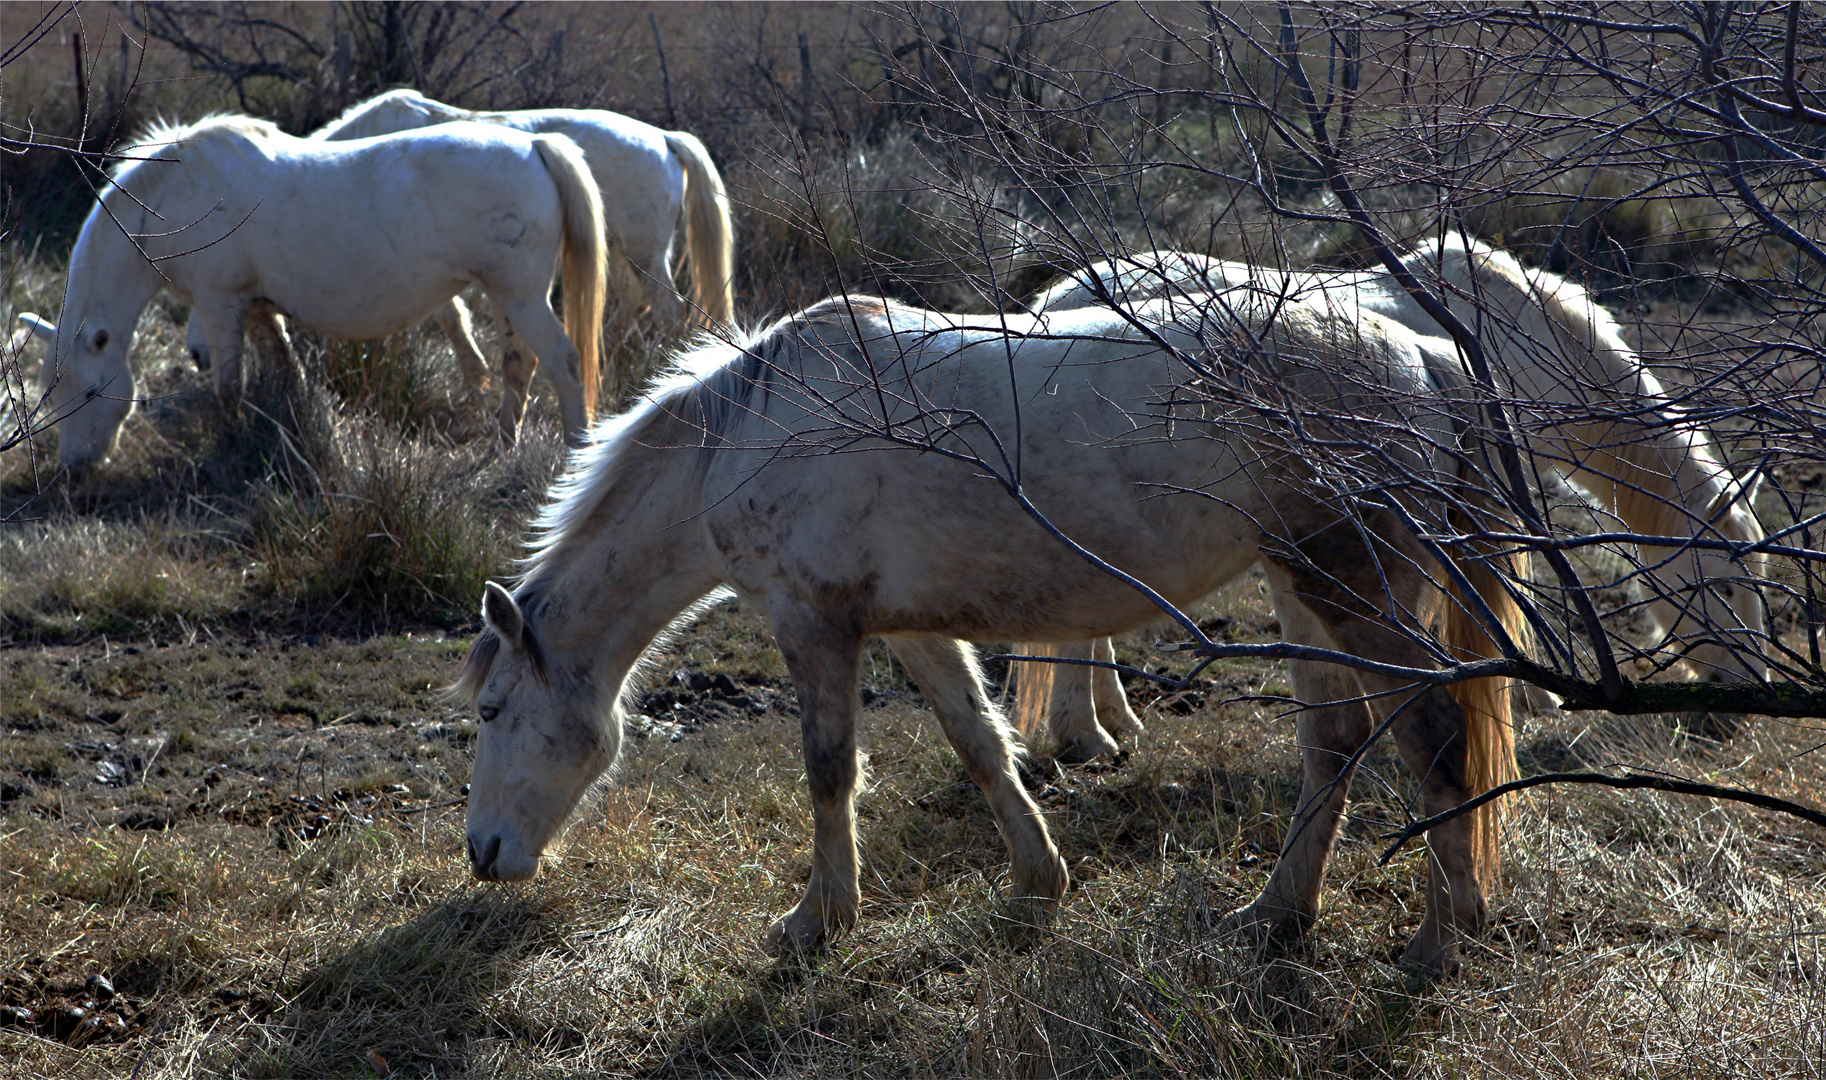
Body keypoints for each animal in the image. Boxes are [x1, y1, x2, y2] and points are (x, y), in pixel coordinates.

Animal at [23, 114, 606, 467]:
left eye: (91, 393)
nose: (74, 469)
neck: (171, 201)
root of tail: (533, 145)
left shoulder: (221, 303)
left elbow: (229, 388)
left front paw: (229, 446)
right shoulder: (258, 308)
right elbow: (284, 373)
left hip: (521, 296)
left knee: (563, 362)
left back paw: (575, 452)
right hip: (508, 297)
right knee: (518, 366)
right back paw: (502, 446)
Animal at [179, 90, 734, 434]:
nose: (197, 355)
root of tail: (665, 139)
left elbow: (449, 317)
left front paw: (475, 380)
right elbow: (455, 318)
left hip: (642, 256)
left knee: (663, 311)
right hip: (626, 256)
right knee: (628, 306)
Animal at [452, 292, 1526, 979]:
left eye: (494, 711)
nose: (483, 854)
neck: (753, 432)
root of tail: (1419, 355)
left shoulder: (814, 624)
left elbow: (828, 770)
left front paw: (817, 921)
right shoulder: (910, 631)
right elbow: (979, 743)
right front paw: (1039, 881)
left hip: (1356, 593)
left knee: (1434, 744)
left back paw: (1441, 941)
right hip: (1305, 597)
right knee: (1333, 748)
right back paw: (1276, 916)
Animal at [1015, 239, 1767, 760]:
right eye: (1727, 588)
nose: (1741, 704)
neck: (1518, 337)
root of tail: (1050, 305)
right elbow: (1510, 581)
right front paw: (1536, 690)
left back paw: (1116, 718)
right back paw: (1088, 737)